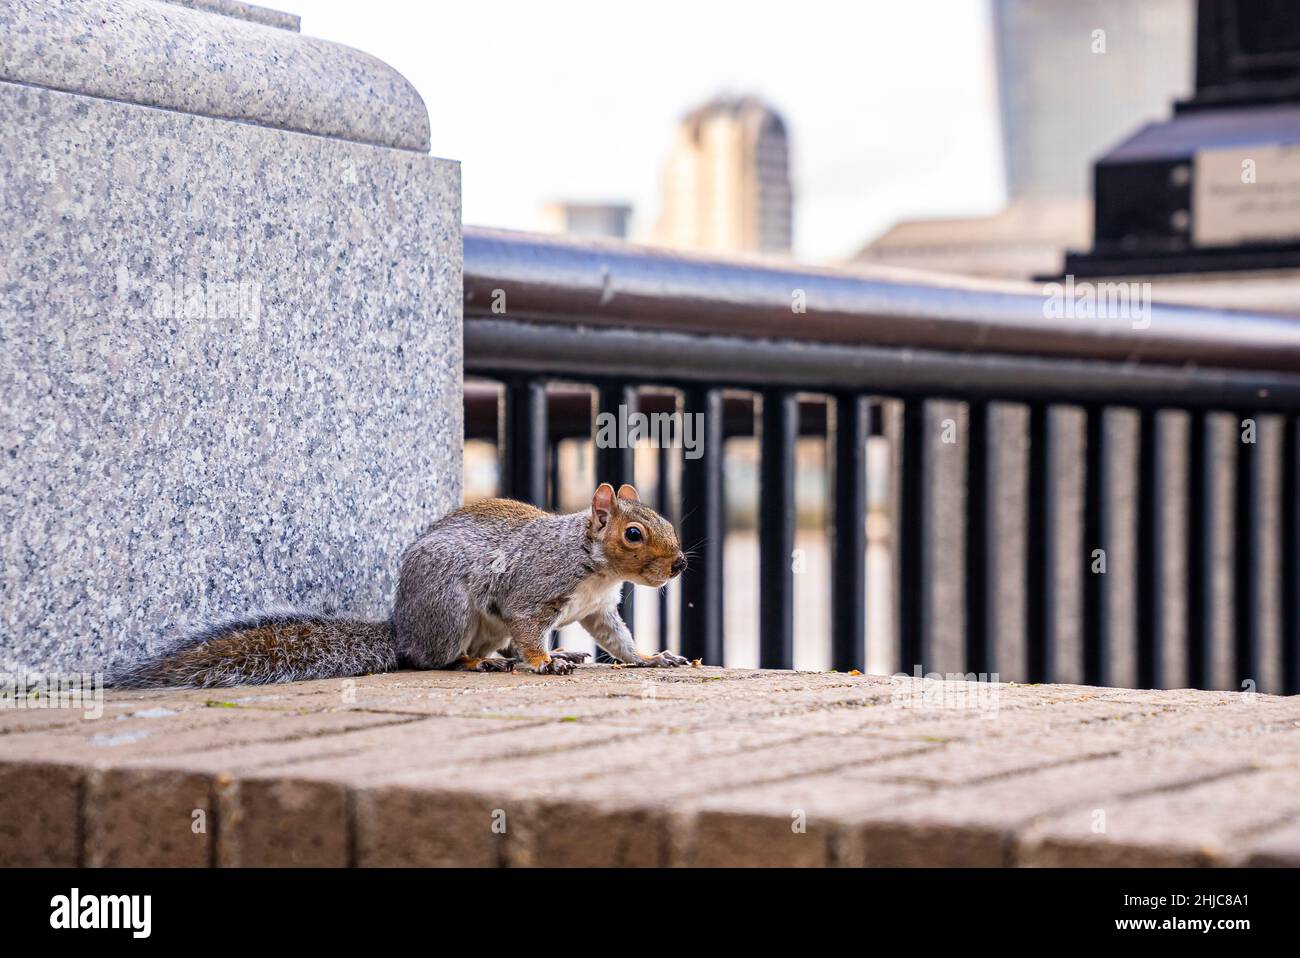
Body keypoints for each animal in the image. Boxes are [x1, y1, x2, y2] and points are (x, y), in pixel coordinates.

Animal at [109, 482, 691, 688]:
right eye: (633, 534)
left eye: (662, 519)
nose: (680, 565)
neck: (595, 564)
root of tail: (402, 628)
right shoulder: (533, 589)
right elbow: (529, 631)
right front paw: (547, 661)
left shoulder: (597, 608)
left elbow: (619, 640)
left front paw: (651, 658)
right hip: (452, 611)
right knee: (432, 659)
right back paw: (478, 663)